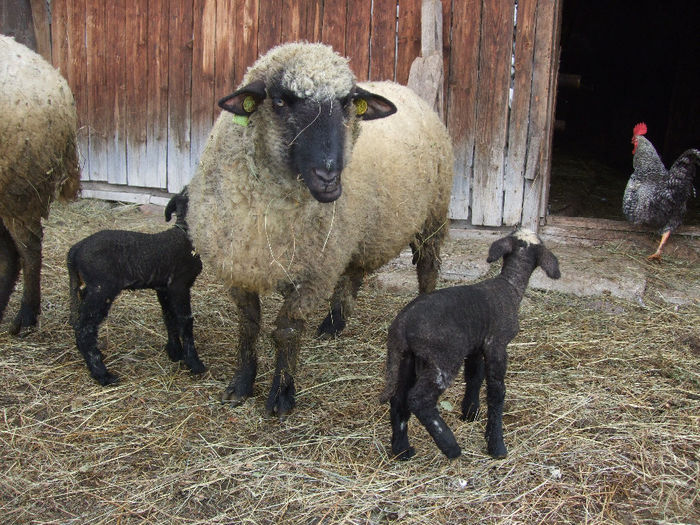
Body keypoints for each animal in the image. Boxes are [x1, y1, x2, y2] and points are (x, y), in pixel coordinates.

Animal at [66, 190, 205, 382]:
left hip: (89, 288)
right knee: (85, 329)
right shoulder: (179, 285)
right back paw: (102, 374)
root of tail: (75, 250)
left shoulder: (163, 288)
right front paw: (194, 363)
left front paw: (175, 352)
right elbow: (185, 321)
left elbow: (169, 317)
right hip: (102, 288)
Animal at [187, 41, 454, 418]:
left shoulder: (314, 275)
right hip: (355, 232)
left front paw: (281, 395)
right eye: (280, 101)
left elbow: (285, 330)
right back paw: (334, 324)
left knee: (428, 267)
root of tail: (401, 86)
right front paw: (241, 384)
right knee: (354, 272)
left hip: (433, 213)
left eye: (346, 103)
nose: (328, 176)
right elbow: (248, 325)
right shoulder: (238, 267)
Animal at [380, 229, 560, 458]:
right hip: (443, 359)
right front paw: (496, 445)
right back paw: (450, 446)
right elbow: (496, 391)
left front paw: (470, 412)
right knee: (418, 400)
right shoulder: (496, 344)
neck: (510, 286)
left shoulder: (476, 346)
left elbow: (474, 377)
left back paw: (402, 450)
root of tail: (401, 325)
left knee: (398, 399)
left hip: (407, 358)